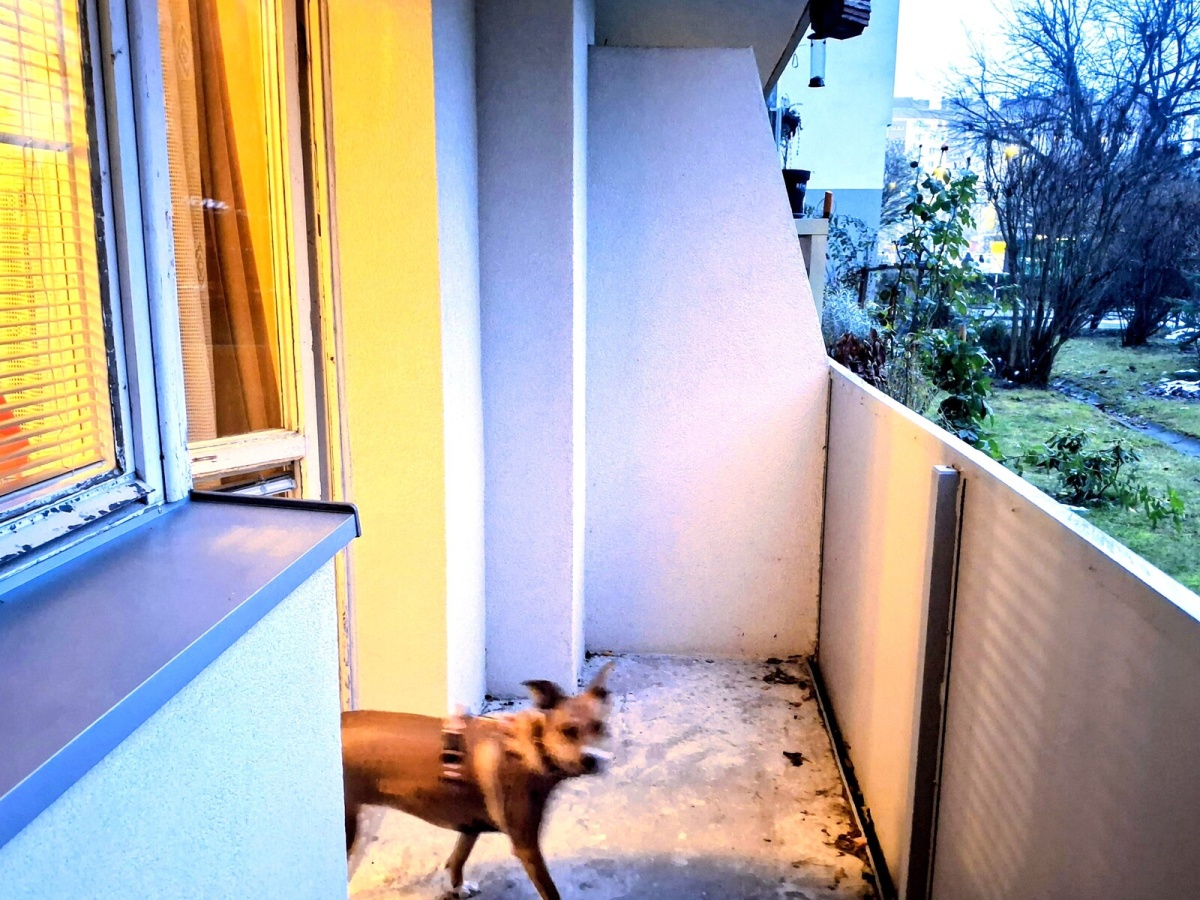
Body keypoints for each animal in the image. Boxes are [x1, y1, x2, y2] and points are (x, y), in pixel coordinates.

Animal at [342, 662, 614, 900]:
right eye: (568, 731)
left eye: (600, 727)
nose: (592, 760)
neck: (530, 749)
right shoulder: (526, 846)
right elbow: (551, 892)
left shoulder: (469, 826)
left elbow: (457, 859)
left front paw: (458, 888)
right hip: (354, 830)